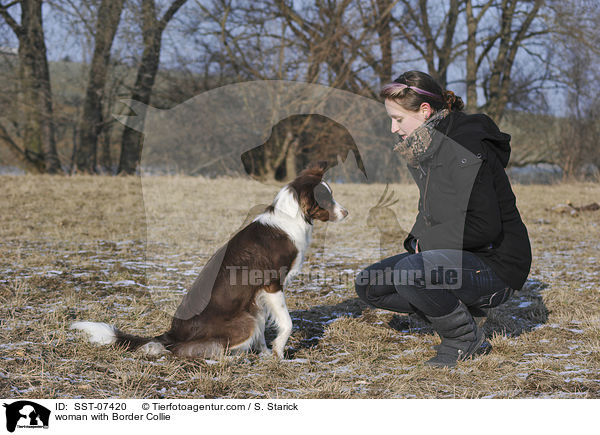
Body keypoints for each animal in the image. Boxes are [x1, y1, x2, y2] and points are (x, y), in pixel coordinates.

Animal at [71, 162, 346, 360]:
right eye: (327, 199)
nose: (346, 212)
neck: (292, 216)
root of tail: (172, 334)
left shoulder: (256, 297)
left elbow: (263, 331)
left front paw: (267, 353)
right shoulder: (272, 283)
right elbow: (287, 323)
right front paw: (278, 350)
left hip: (246, 313)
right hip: (243, 321)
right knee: (184, 352)